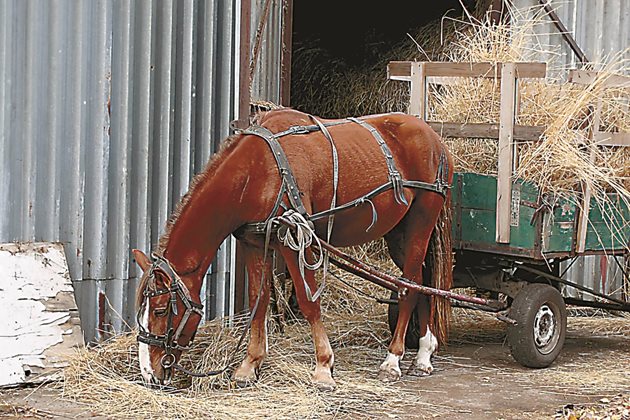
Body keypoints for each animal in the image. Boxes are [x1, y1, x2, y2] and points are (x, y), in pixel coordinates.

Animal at [132, 108, 454, 390]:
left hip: (421, 220)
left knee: (409, 287)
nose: (149, 375)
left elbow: (308, 301)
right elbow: (259, 300)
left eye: (161, 309)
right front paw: (249, 365)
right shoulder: (254, 242)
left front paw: (323, 367)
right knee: (423, 283)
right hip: (399, 233)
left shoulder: (294, 240)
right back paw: (424, 354)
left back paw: (393, 359)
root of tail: (434, 138)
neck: (258, 169)